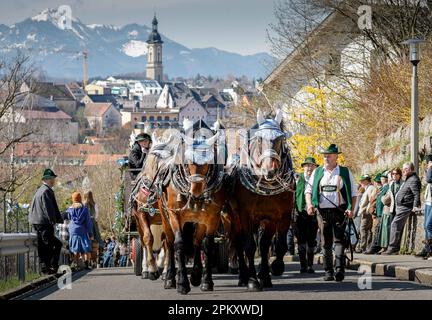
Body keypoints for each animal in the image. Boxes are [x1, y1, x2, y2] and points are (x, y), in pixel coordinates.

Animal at [158, 120, 226, 296]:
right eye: (187, 160)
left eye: (209, 160)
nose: (195, 190)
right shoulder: (174, 214)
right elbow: (179, 243)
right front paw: (182, 283)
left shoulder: (212, 217)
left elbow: (206, 245)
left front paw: (206, 281)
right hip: (164, 216)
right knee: (169, 243)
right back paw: (169, 277)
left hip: (198, 219)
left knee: (196, 241)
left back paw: (195, 275)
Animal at [228, 109, 296, 290]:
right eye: (259, 139)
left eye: (281, 139)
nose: (269, 170)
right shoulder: (245, 214)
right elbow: (250, 247)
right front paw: (253, 280)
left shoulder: (280, 215)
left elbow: (273, 245)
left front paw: (271, 271)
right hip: (232, 217)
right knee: (239, 243)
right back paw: (243, 276)